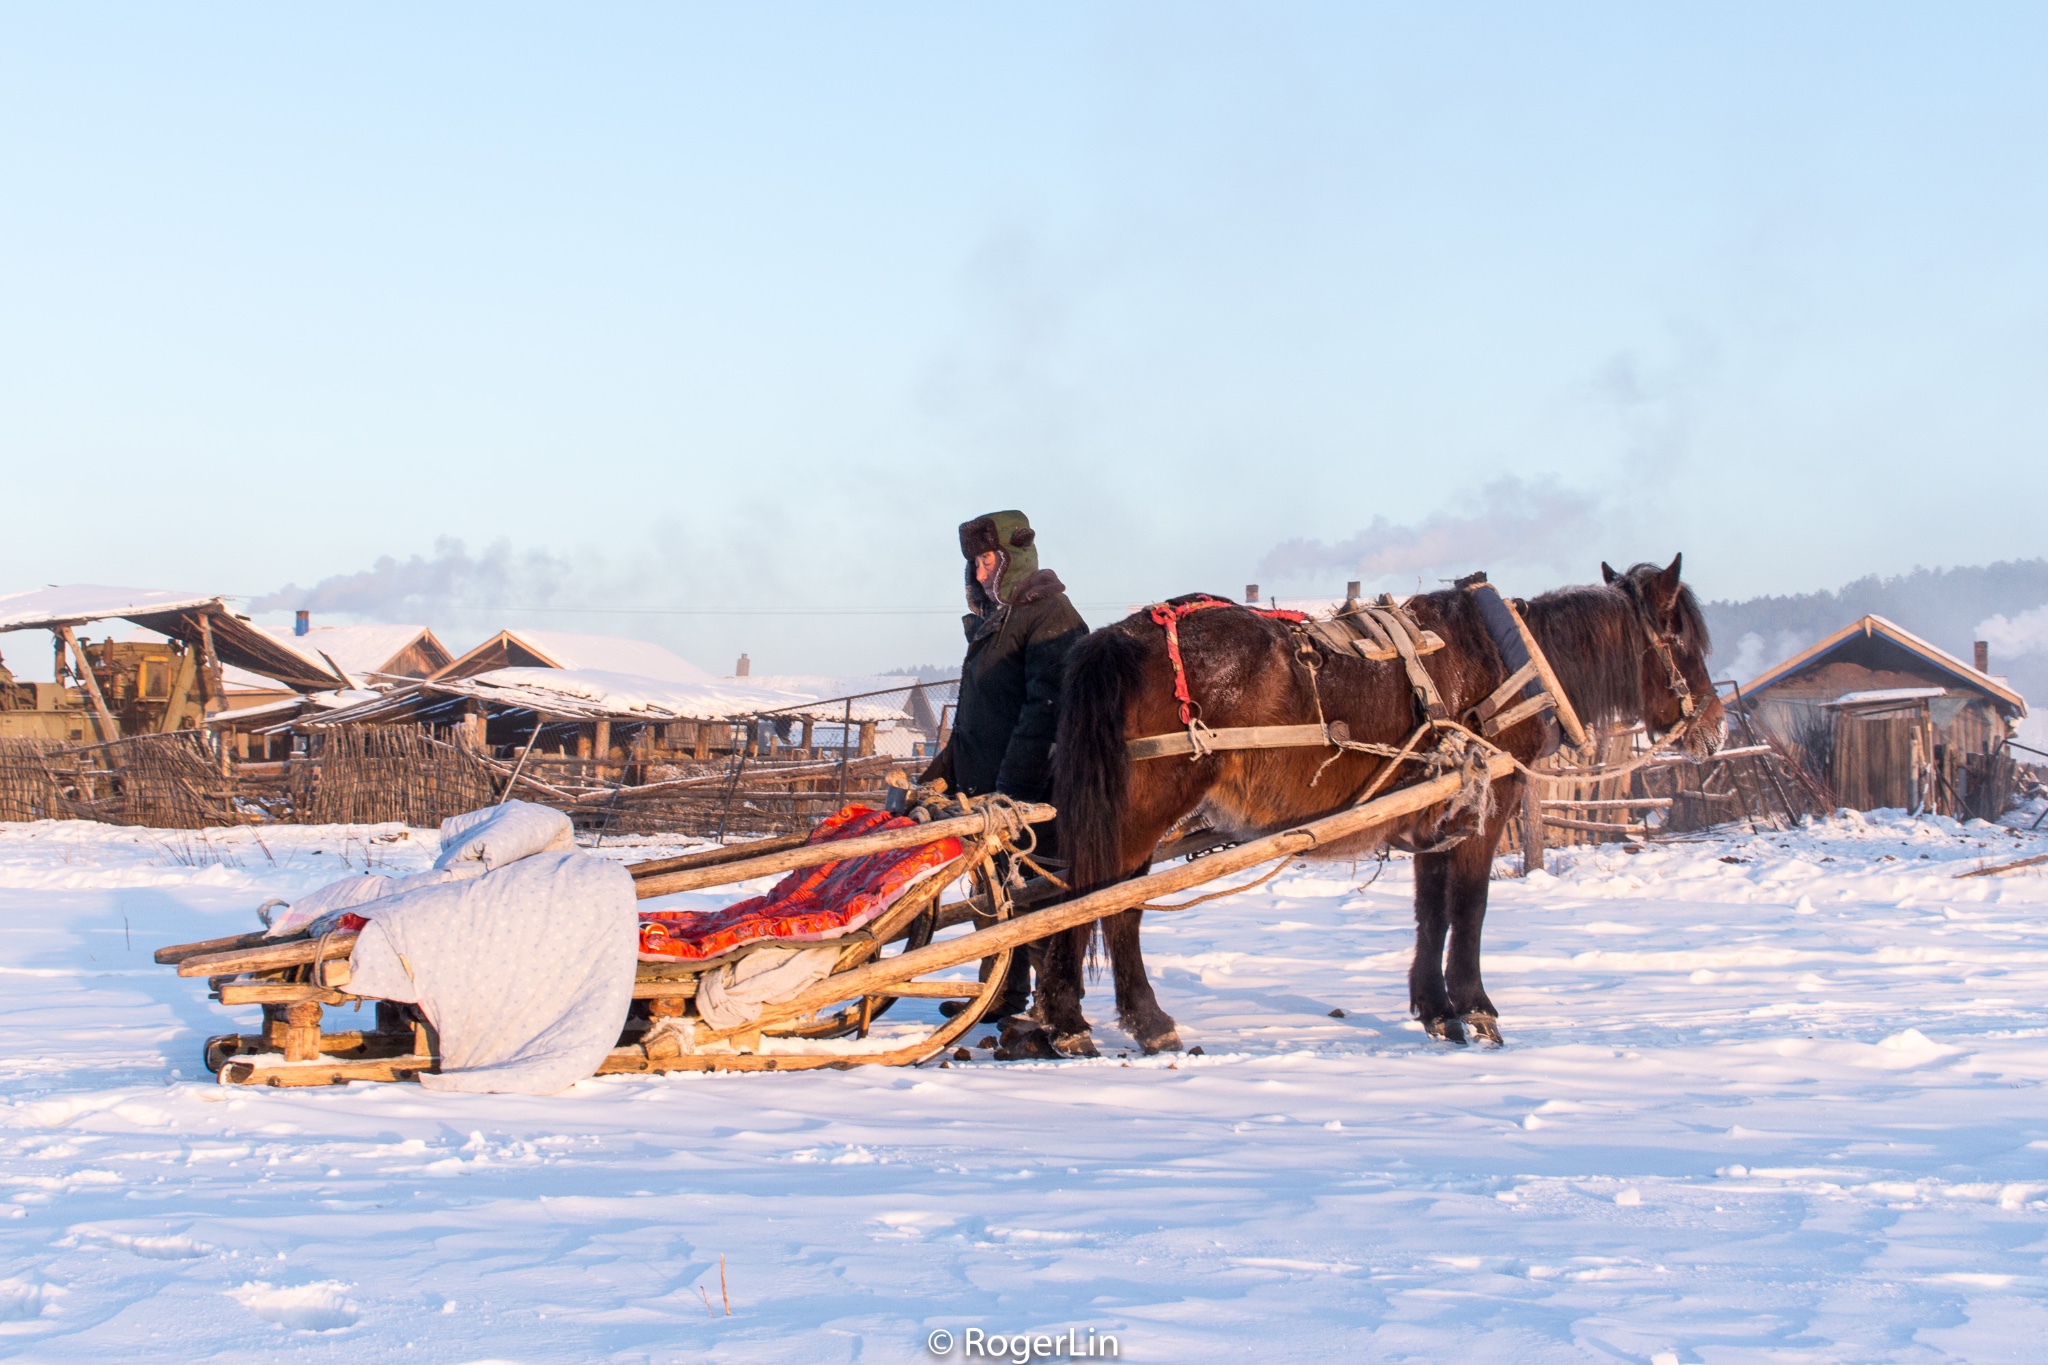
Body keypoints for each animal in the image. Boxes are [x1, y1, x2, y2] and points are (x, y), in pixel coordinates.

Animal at [1040, 556, 1728, 1055]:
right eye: (1682, 639)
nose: (1714, 727)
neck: (1511, 662)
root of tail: (1120, 636)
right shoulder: (1486, 809)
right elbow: (1470, 908)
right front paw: (1477, 1009)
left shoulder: (1436, 818)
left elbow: (1432, 914)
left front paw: (1436, 1010)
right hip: (1144, 811)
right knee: (1109, 905)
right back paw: (1135, 1020)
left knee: (1077, 895)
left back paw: (1064, 1017)